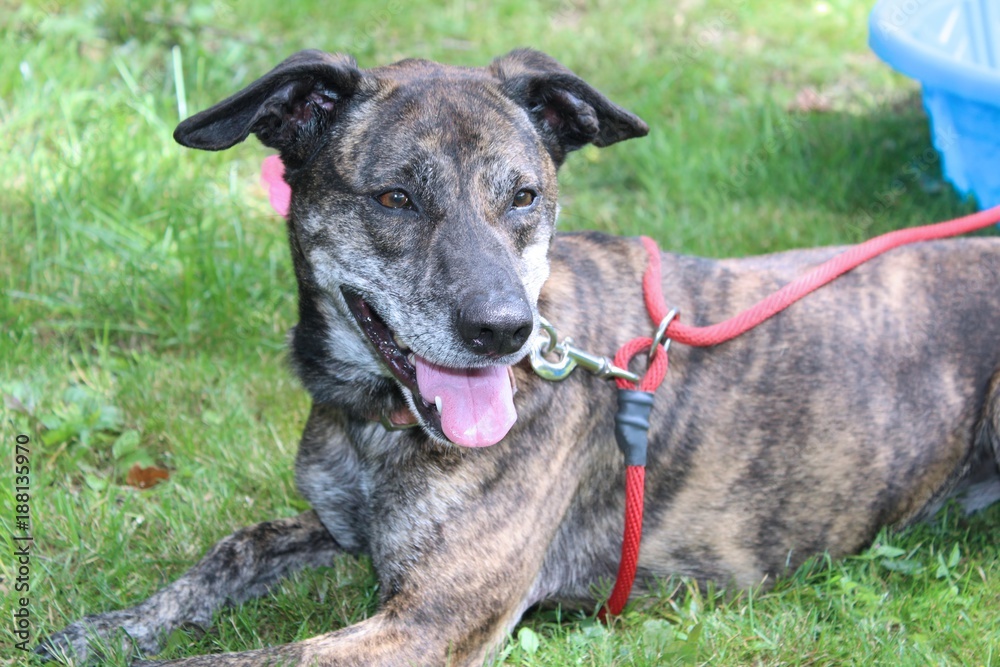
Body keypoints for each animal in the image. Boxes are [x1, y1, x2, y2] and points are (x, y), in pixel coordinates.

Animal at [41, 49, 1000, 664]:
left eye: (526, 196)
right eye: (395, 197)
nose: (502, 329)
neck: (373, 418)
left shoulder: (428, 620)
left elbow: (239, 658)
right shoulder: (349, 533)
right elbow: (232, 547)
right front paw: (106, 627)